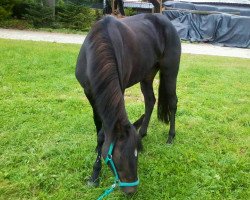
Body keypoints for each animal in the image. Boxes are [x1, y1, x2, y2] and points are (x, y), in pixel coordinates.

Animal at [75, 13, 181, 195]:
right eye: (117, 157)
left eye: (136, 156)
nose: (132, 190)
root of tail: (166, 21)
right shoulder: (90, 93)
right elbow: (98, 126)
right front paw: (96, 164)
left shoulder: (119, 89)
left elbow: (103, 131)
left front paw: (95, 174)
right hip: (147, 73)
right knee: (150, 100)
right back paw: (142, 133)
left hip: (170, 71)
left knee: (173, 102)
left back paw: (170, 137)